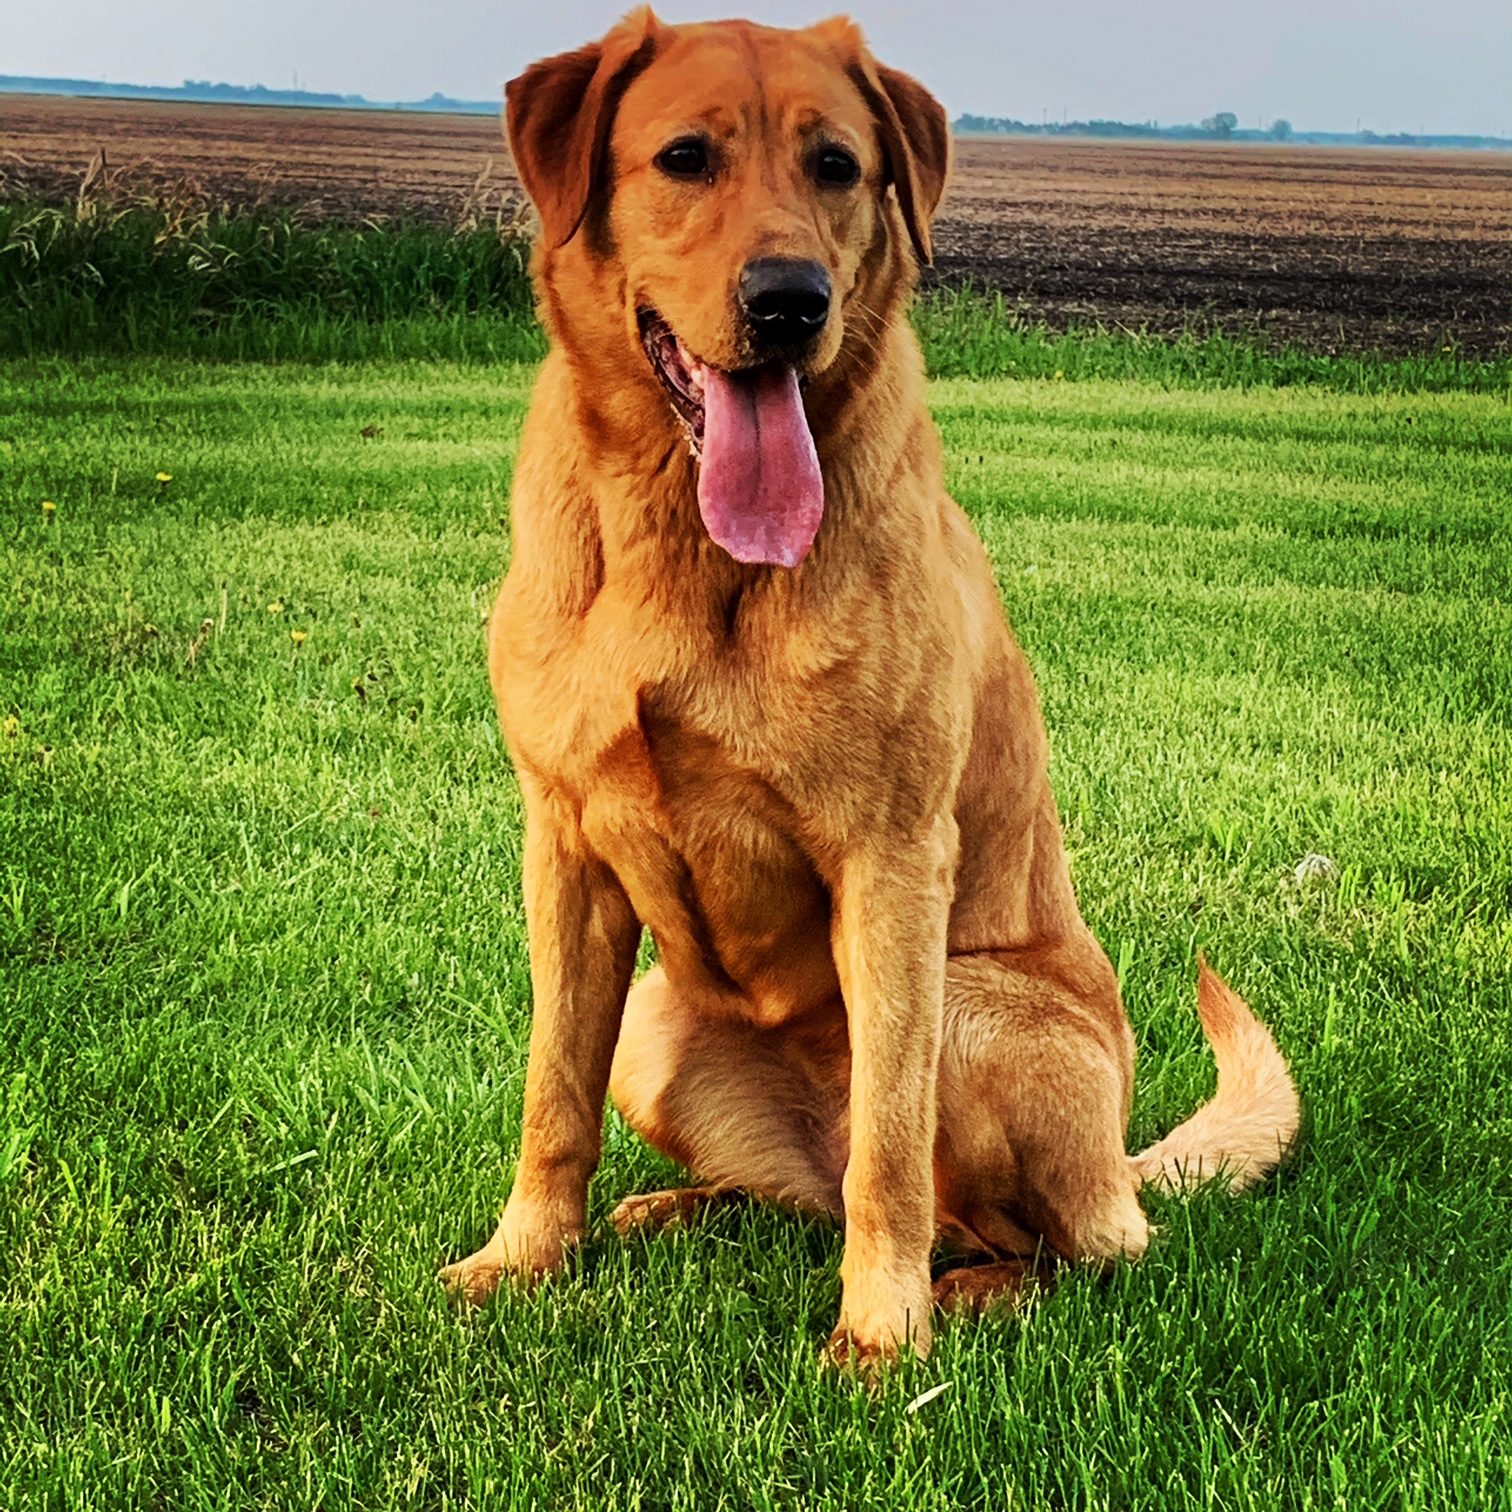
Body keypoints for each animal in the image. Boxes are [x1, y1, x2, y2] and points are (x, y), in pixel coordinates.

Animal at [441, 5, 1300, 1366]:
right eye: (684, 159)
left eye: (837, 166)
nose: (791, 303)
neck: (689, 544)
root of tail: (1124, 1160)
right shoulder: (566, 851)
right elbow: (551, 1093)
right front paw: (525, 1257)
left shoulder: (893, 863)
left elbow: (889, 1150)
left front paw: (883, 1340)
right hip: (659, 1026)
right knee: (797, 1189)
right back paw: (679, 1206)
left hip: (974, 1013)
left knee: (1068, 1246)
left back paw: (969, 1291)